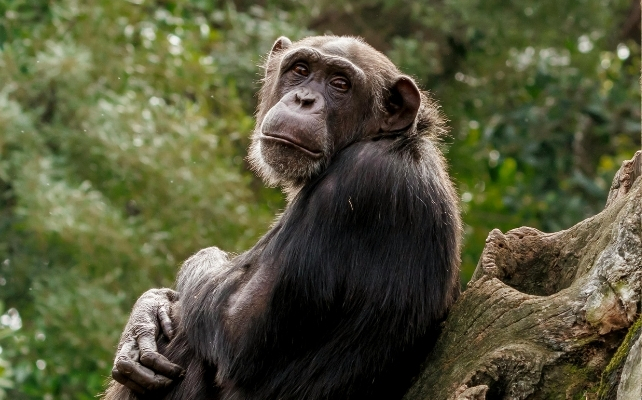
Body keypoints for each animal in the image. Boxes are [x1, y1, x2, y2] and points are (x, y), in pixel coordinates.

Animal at [104, 35, 461, 400]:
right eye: (300, 69)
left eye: (340, 84)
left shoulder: (360, 182)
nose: (304, 99)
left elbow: (235, 327)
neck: (381, 139)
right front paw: (146, 312)